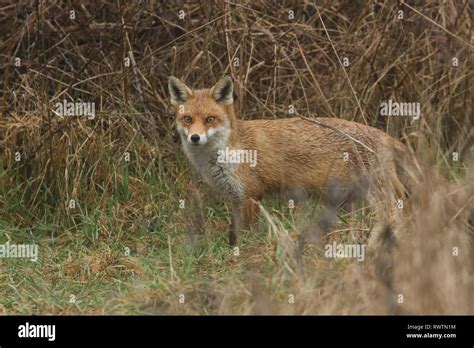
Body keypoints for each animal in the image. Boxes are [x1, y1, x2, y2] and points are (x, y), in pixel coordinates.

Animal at [168, 75, 408, 246]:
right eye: (187, 119)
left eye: (210, 119)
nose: (195, 137)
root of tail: (383, 135)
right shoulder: (236, 197)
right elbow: (233, 235)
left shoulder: (251, 195)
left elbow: (246, 235)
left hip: (375, 194)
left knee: (393, 219)